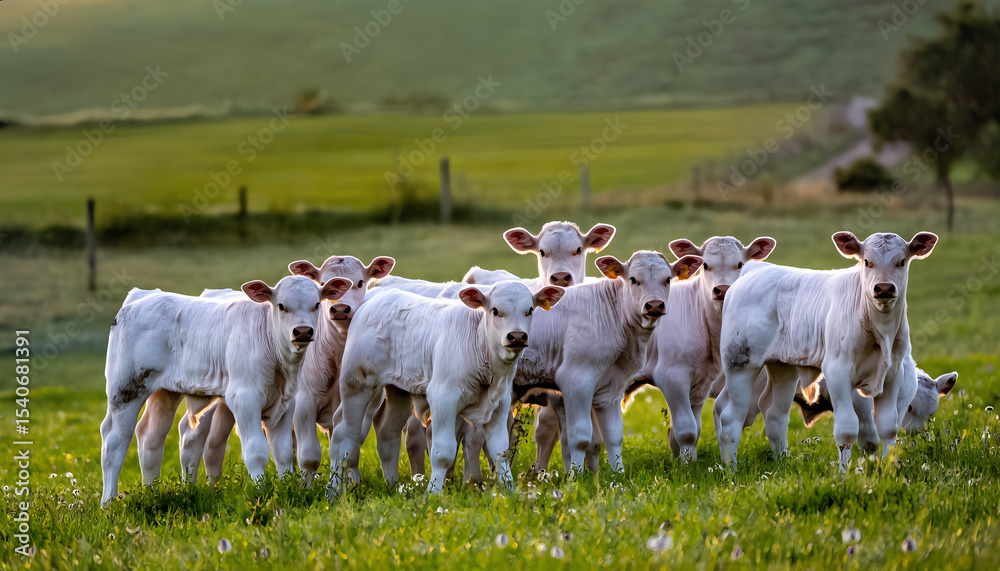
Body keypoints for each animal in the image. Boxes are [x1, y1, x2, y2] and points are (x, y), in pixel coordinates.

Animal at [101, 274, 350, 505]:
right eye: (281, 306)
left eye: (316, 304)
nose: (303, 331)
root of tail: (141, 296)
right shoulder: (243, 398)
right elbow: (256, 451)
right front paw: (261, 491)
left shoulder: (285, 403)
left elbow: (283, 451)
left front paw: (287, 487)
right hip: (126, 389)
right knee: (115, 440)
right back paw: (108, 503)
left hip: (165, 392)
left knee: (151, 436)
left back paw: (151, 493)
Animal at [327, 281, 565, 496]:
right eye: (496, 310)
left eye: (530, 310)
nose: (516, 336)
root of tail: (375, 299)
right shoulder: (443, 399)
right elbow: (443, 453)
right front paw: (433, 494)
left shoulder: (499, 404)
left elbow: (500, 450)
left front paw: (509, 491)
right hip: (357, 386)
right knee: (343, 436)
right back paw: (333, 492)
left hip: (398, 391)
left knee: (388, 435)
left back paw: (392, 486)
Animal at [513, 251, 702, 473]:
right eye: (633, 279)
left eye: (667, 279)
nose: (655, 305)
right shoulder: (576, 380)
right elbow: (579, 437)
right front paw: (576, 476)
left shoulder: (611, 389)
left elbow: (613, 435)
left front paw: (617, 473)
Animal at [623, 236, 776, 463]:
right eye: (705, 265)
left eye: (740, 264)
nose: (722, 289)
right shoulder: (672, 375)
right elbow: (686, 430)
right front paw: (686, 467)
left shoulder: (702, 382)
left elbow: (692, 430)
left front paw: (688, 463)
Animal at [713, 231, 938, 472]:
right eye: (867, 262)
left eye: (901, 261)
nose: (884, 288)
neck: (880, 331)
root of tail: (754, 270)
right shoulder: (838, 372)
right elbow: (847, 429)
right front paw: (843, 474)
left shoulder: (893, 375)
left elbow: (888, 427)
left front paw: (888, 471)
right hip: (740, 363)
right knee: (730, 417)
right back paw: (730, 469)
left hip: (783, 366)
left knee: (775, 413)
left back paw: (782, 461)